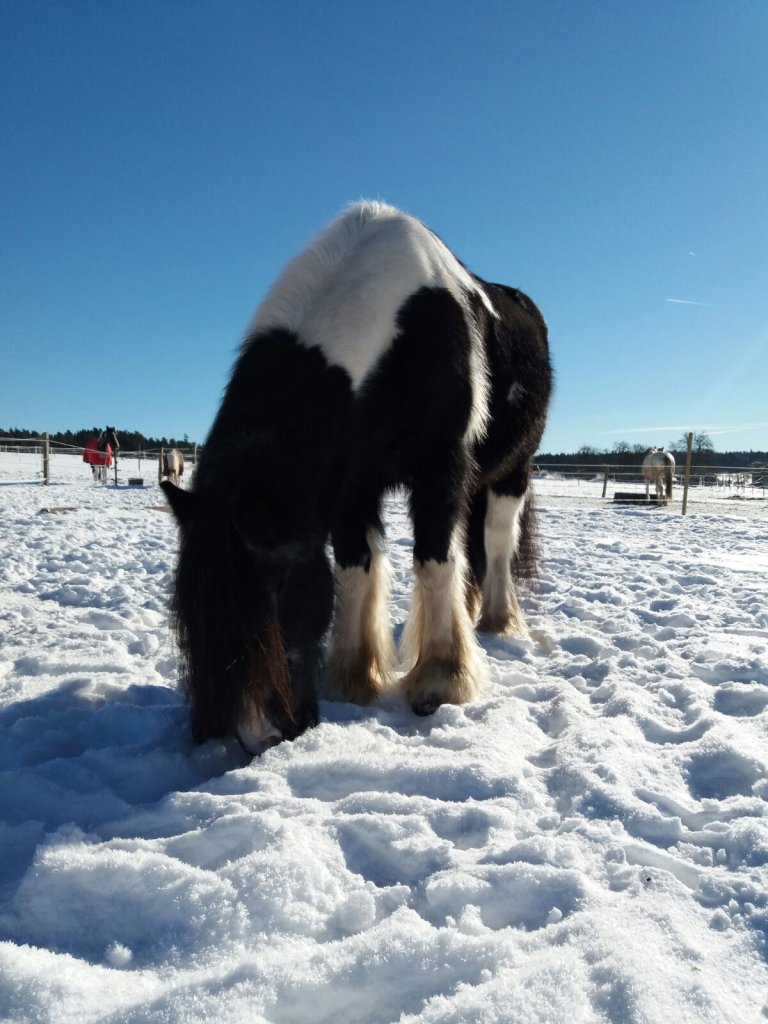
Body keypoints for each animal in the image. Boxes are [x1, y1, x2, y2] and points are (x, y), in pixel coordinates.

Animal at [161, 201, 552, 754]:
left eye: (278, 592)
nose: (260, 736)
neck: (406, 335)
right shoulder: (349, 489)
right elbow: (355, 569)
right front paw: (354, 678)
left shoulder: (440, 472)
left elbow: (434, 560)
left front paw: (441, 680)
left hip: (509, 473)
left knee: (496, 543)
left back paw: (498, 621)